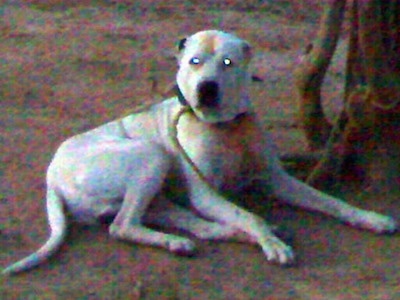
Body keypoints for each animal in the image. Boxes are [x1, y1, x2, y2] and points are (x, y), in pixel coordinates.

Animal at [2, 29, 396, 274]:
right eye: (194, 61)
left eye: (227, 63)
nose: (206, 88)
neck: (226, 127)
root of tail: (51, 176)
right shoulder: (207, 194)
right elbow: (247, 215)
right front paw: (270, 243)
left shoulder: (276, 178)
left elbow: (330, 201)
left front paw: (370, 218)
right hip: (152, 156)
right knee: (122, 226)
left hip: (159, 198)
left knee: (191, 227)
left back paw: (197, 239)